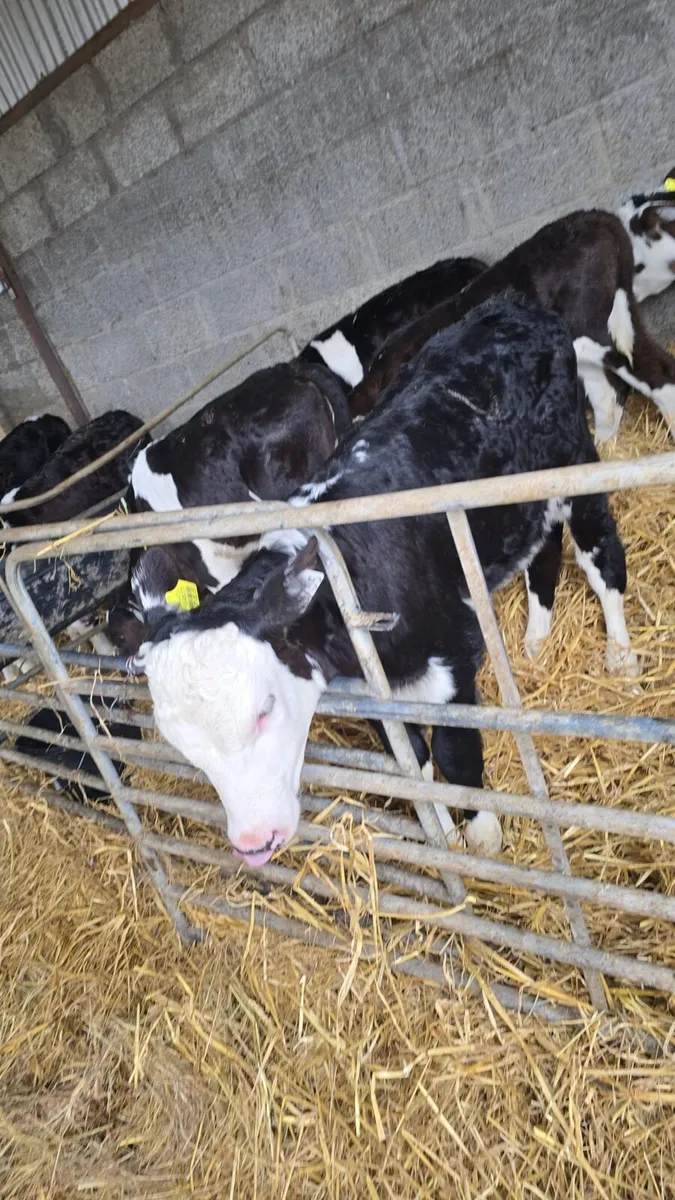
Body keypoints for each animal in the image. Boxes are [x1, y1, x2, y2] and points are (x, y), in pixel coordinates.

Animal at [128, 296, 634, 868]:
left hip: (574, 463)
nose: (254, 843)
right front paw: (443, 836)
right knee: (542, 550)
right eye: (184, 747)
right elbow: (411, 763)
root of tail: (512, 306)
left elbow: (456, 757)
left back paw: (620, 654)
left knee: (600, 554)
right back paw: (535, 638)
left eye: (264, 710)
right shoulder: (371, 694)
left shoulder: (453, 658)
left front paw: (482, 835)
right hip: (519, 500)